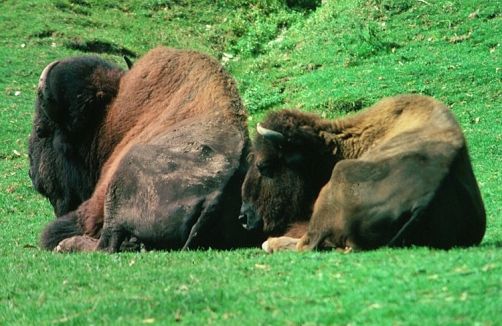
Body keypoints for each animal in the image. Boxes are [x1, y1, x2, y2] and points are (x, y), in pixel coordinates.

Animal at [30, 45, 266, 252]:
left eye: (42, 131)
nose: (33, 175)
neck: (109, 115)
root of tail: (216, 197)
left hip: (120, 183)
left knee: (105, 244)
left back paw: (67, 245)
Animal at [240, 94, 486, 252]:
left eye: (264, 166)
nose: (244, 217)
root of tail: (425, 199)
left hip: (339, 178)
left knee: (305, 244)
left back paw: (271, 243)